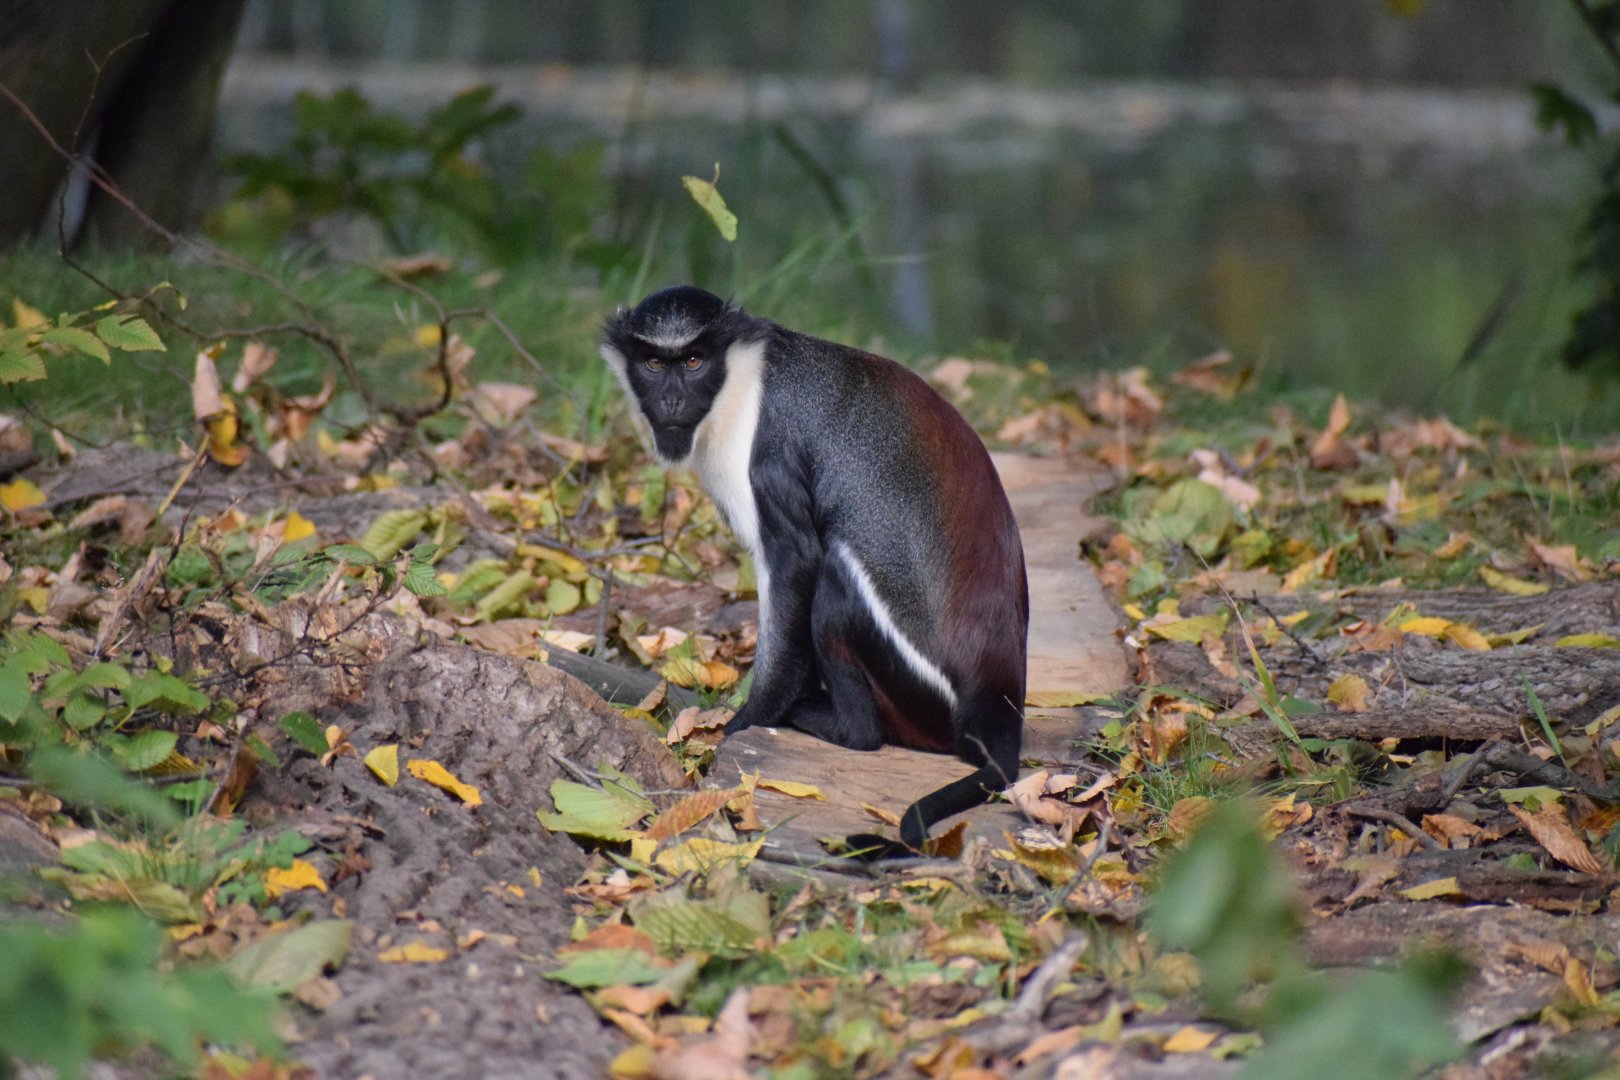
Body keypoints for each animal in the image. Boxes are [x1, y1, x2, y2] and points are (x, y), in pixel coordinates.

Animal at [601, 286, 1028, 857]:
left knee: (834, 581)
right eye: (653, 362)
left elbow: (796, 563)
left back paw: (842, 726)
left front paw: (746, 722)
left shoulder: (766, 458)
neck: (744, 378)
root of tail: (997, 696)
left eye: (692, 361)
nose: (670, 401)